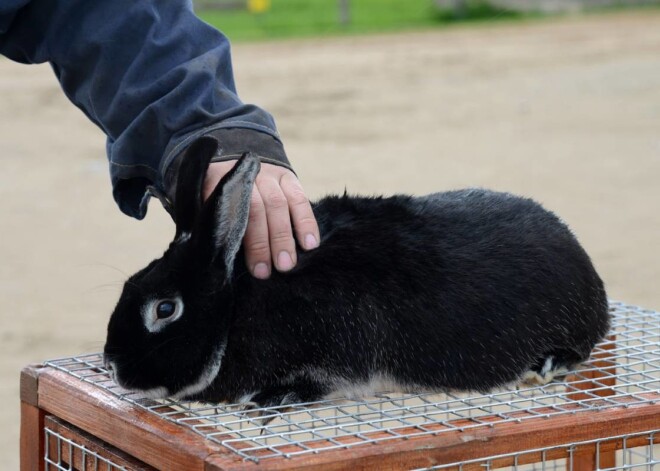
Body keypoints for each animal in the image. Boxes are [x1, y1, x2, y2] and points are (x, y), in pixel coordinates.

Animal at [103, 137, 608, 410]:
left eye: (164, 309)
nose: (111, 363)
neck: (236, 307)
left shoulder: (339, 358)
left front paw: (276, 398)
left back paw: (548, 365)